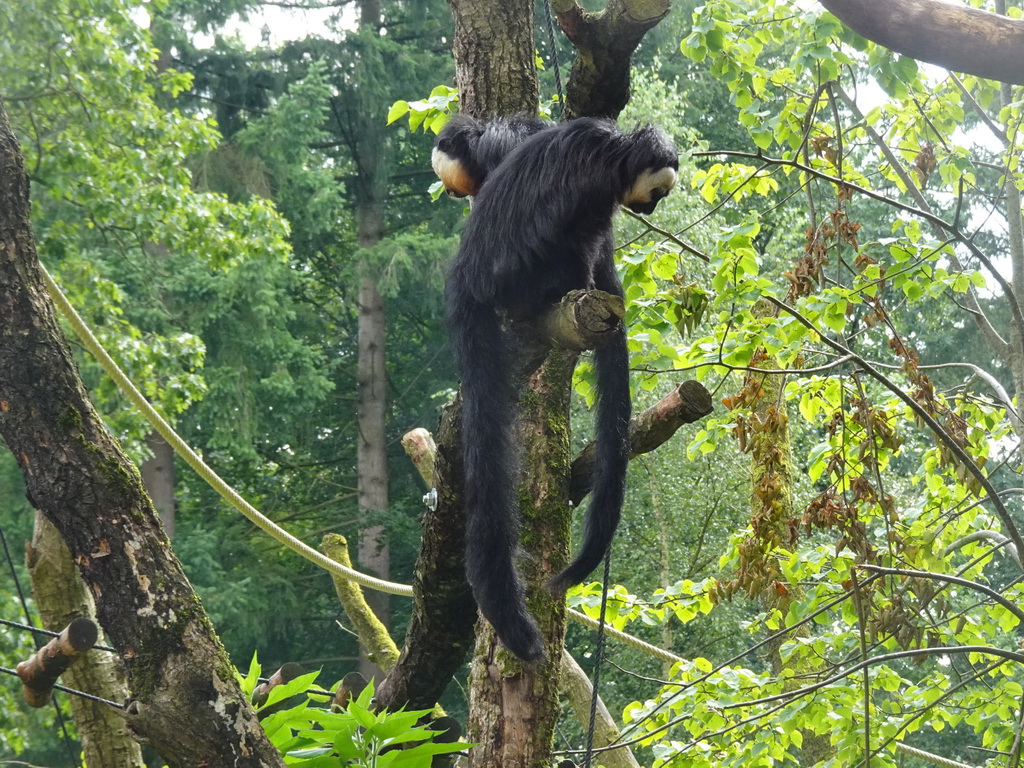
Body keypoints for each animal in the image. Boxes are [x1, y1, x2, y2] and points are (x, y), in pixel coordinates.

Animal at [444, 115, 675, 663]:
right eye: (656, 193)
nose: (651, 208)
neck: (614, 152)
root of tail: (467, 280)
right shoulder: (590, 186)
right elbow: (574, 231)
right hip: (516, 276)